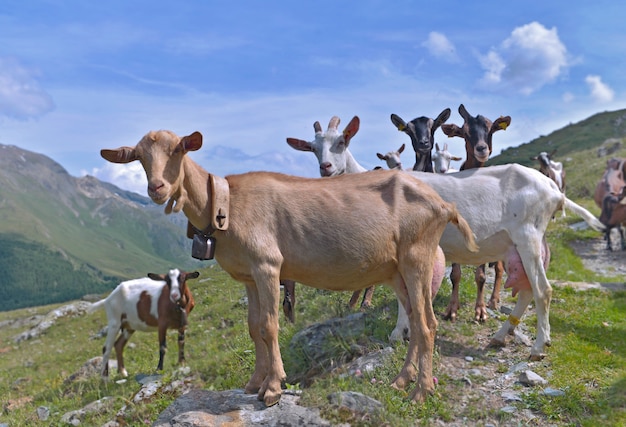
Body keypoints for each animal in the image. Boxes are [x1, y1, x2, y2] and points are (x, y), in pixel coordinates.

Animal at [288, 118, 604, 362]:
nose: (326, 167)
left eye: (343, 141)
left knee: (543, 290)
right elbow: (403, 295)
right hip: (514, 245)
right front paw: (401, 332)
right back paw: (501, 336)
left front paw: (399, 333)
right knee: (527, 290)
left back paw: (538, 347)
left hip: (528, 236)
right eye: (313, 148)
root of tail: (553, 189)